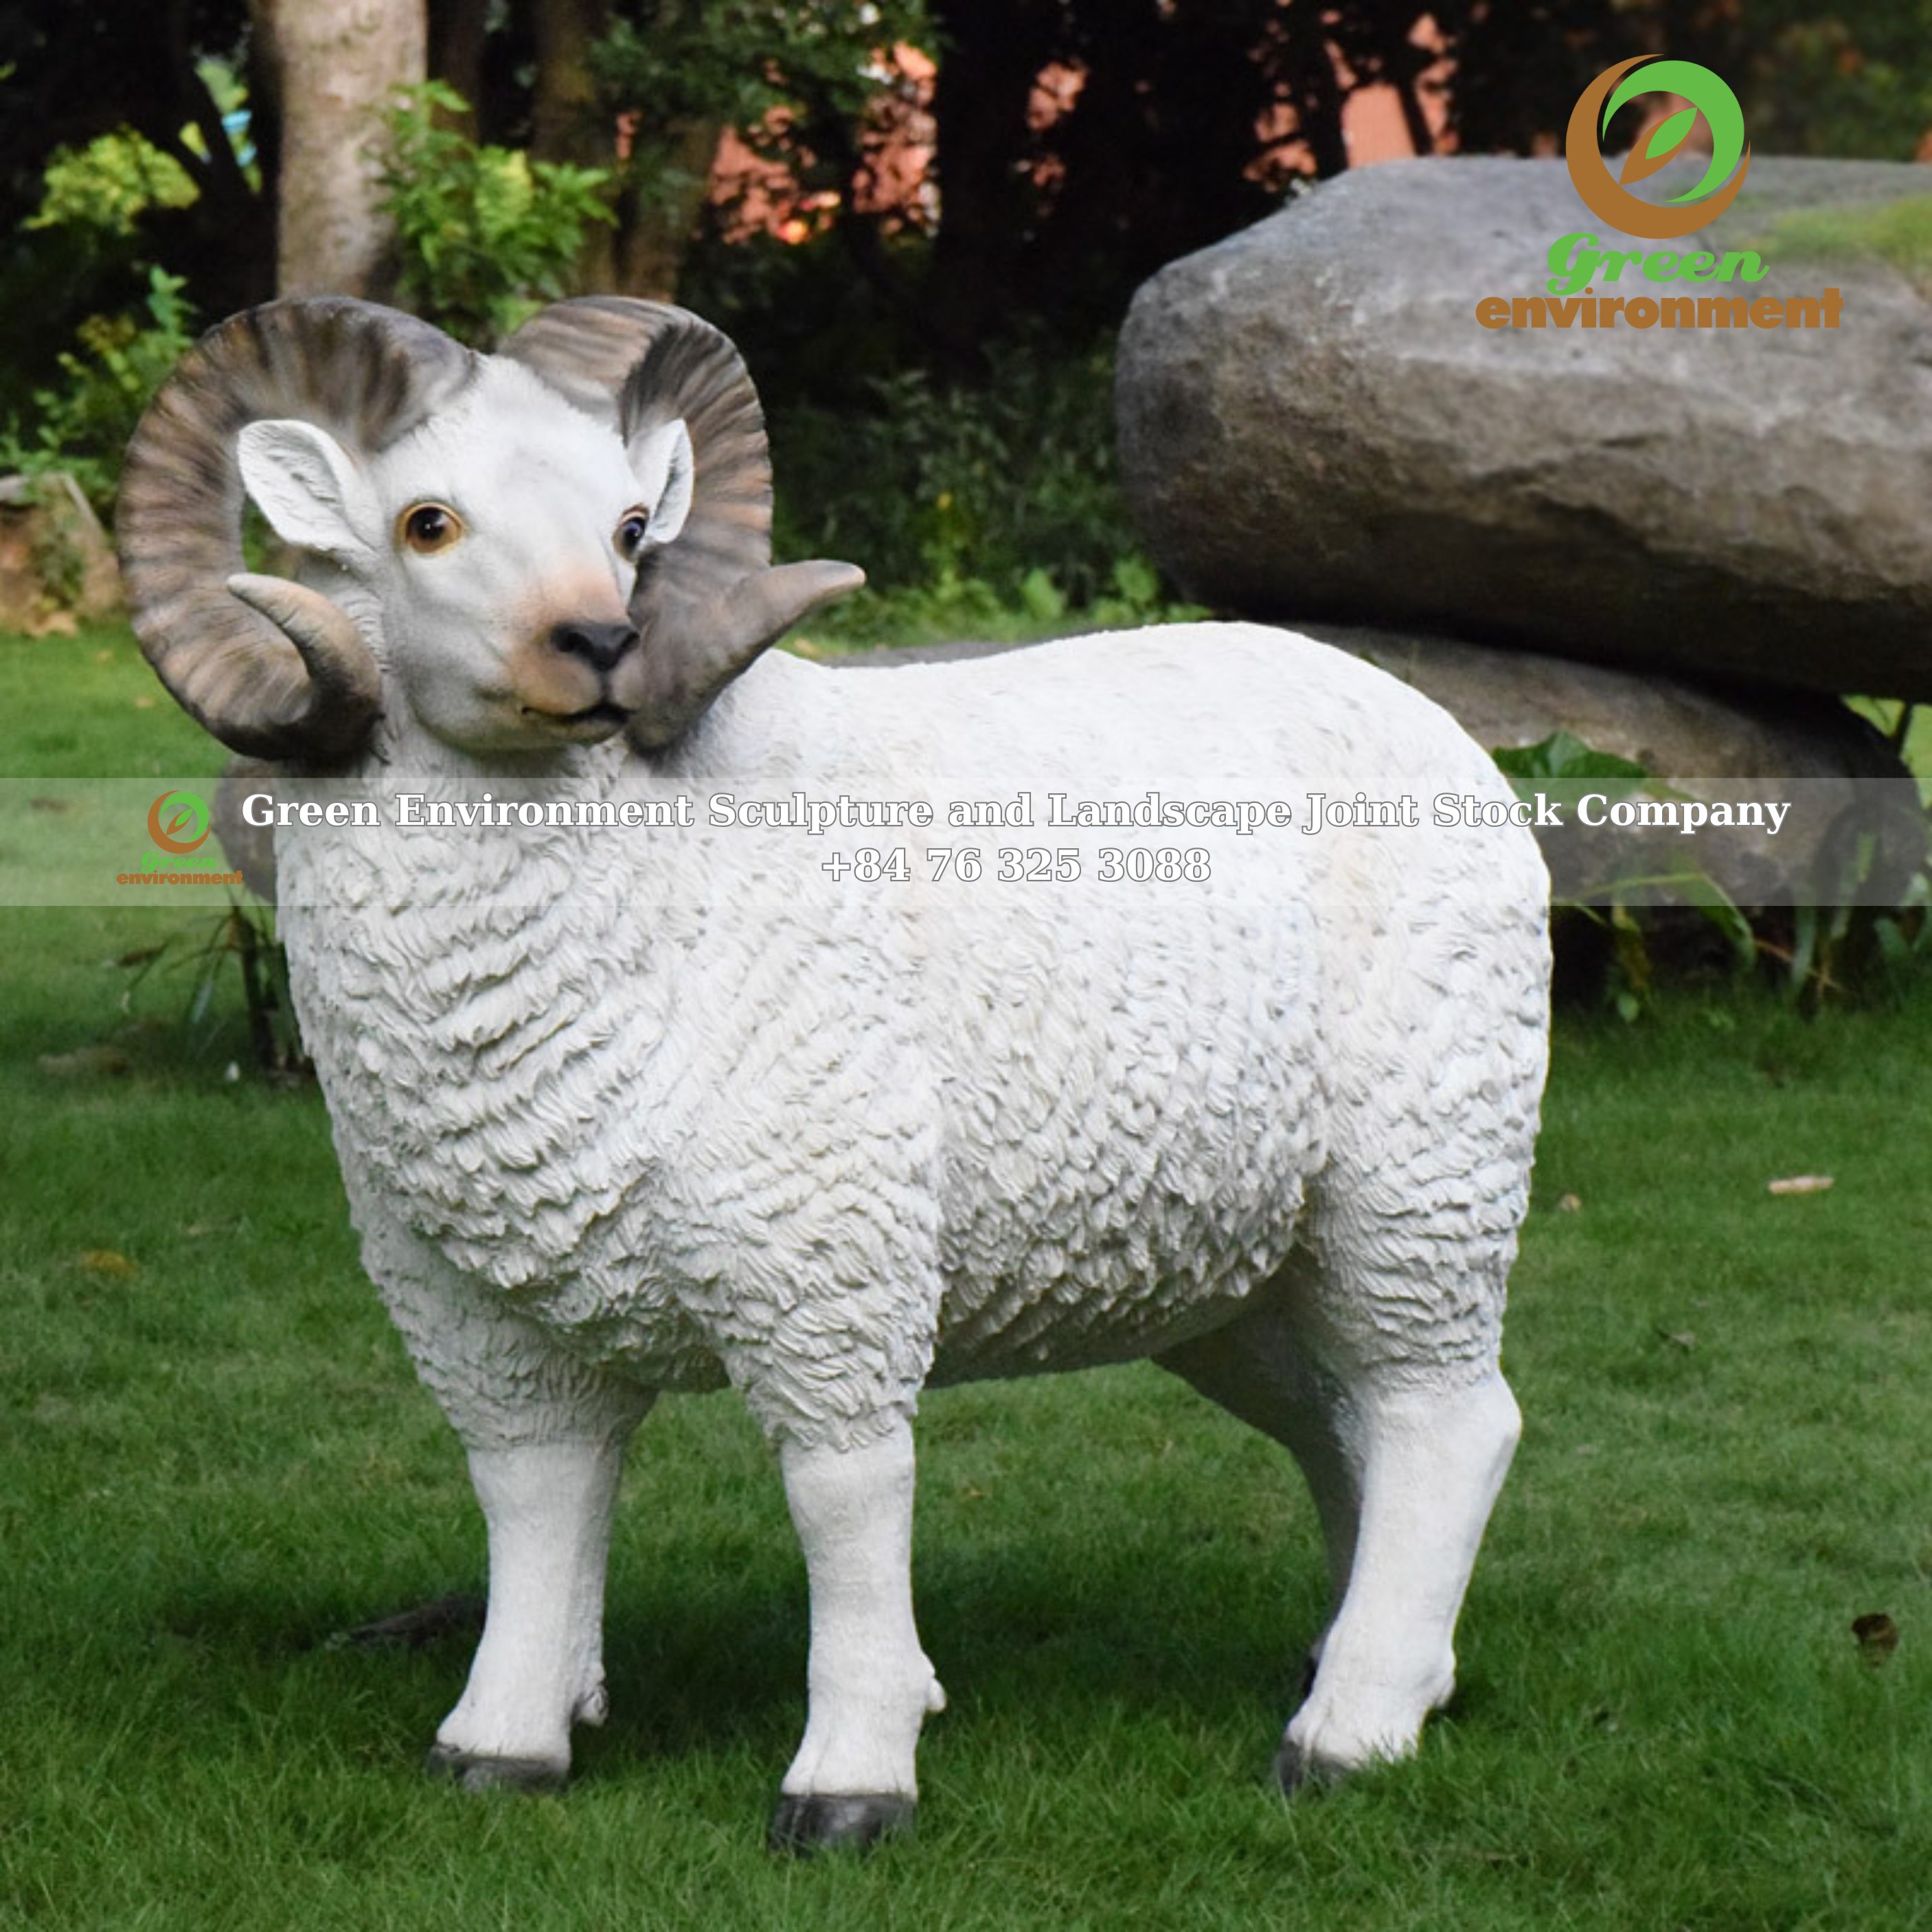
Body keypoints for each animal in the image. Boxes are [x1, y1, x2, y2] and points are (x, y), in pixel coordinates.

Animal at [118, 295, 1550, 1853]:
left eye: (631, 524)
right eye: (425, 522)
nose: (602, 643)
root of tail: (1427, 721)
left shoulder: (823, 1264)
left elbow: (843, 1503)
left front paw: (851, 1777)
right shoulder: (478, 1308)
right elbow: (534, 1501)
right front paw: (500, 1742)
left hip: (1420, 1177)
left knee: (1443, 1419)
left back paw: (1345, 1733)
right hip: (1232, 1259)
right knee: (1340, 1418)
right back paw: (1388, 1670)